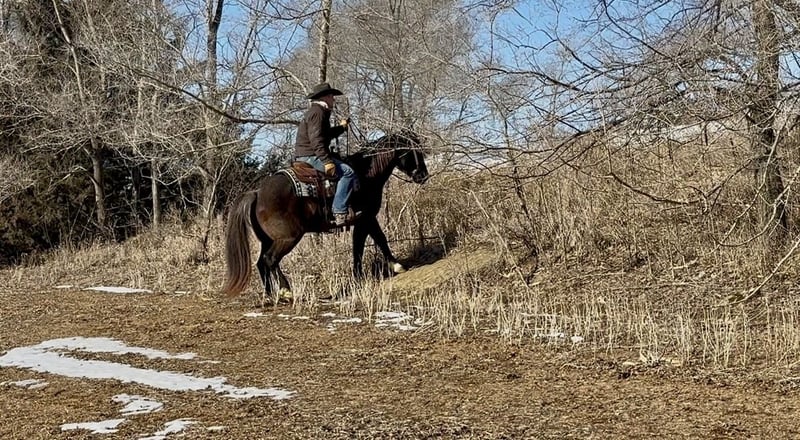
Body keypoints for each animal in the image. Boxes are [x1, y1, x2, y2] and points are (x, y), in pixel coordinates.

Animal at [221, 131, 429, 299]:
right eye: (413, 150)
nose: (423, 175)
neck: (366, 174)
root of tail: (257, 193)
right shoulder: (366, 218)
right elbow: (371, 243)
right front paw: (389, 268)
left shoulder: (365, 220)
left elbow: (369, 243)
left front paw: (370, 273)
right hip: (288, 237)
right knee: (270, 260)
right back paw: (286, 290)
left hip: (269, 239)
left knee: (261, 263)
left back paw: (270, 295)